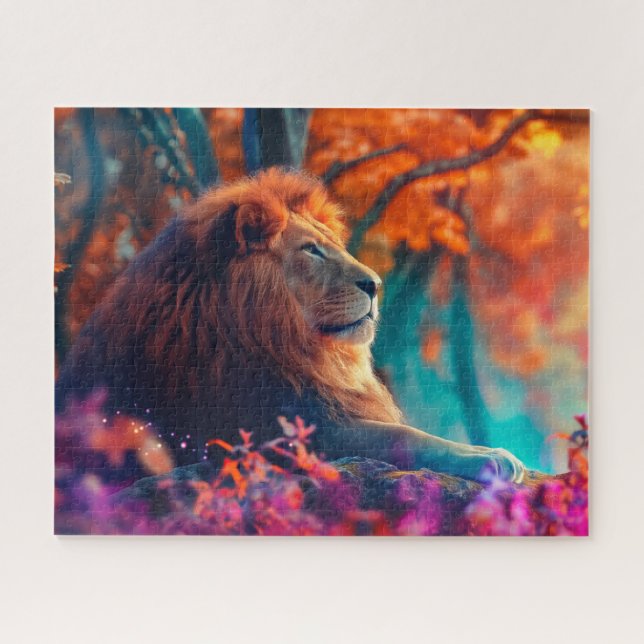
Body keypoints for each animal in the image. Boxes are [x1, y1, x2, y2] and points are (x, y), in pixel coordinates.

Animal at [57, 168, 524, 482]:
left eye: (332, 245)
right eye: (312, 250)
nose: (376, 285)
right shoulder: (276, 430)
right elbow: (404, 436)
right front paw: (493, 458)